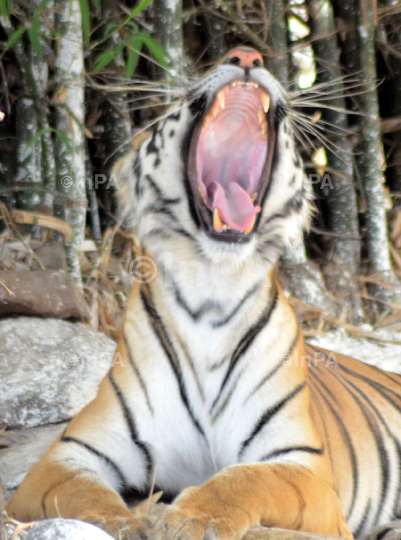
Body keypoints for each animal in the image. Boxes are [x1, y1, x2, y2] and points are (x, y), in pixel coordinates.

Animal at [7, 46, 401, 540]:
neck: (212, 286)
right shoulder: (68, 453)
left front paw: (191, 520)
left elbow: (245, 479)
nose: (247, 54)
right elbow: (83, 495)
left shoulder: (303, 467)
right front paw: (127, 522)